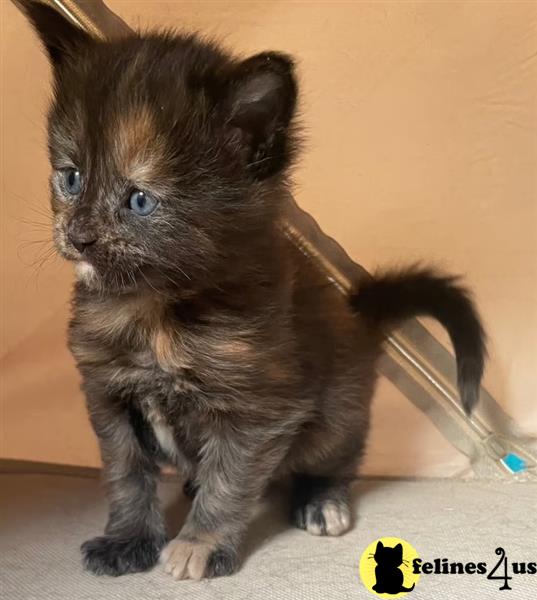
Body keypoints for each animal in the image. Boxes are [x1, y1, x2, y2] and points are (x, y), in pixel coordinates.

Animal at [24, 0, 486, 580]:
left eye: (141, 200)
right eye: (71, 177)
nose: (79, 235)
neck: (156, 314)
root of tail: (357, 320)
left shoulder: (260, 407)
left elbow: (230, 481)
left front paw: (199, 544)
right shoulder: (107, 393)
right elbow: (126, 474)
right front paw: (128, 539)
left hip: (336, 412)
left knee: (339, 453)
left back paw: (323, 500)